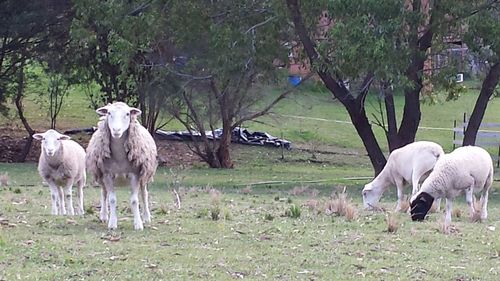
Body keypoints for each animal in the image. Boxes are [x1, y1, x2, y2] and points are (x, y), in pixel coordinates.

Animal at [85, 101, 157, 229]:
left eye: (127, 114)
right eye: (109, 113)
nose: (116, 130)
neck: (119, 158)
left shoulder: (135, 174)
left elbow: (134, 200)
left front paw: (138, 224)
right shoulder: (107, 175)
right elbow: (112, 199)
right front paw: (112, 224)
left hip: (144, 174)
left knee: (144, 194)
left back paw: (146, 217)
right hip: (101, 176)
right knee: (104, 193)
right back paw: (104, 215)